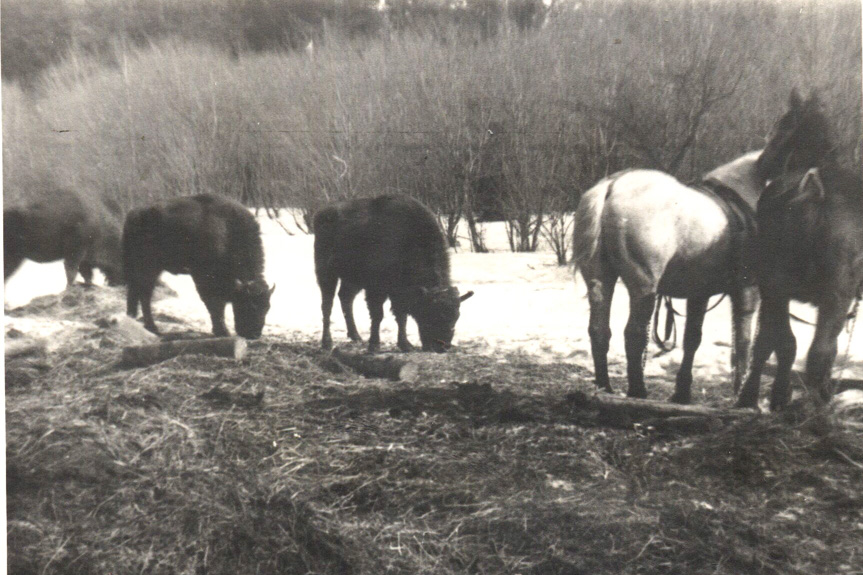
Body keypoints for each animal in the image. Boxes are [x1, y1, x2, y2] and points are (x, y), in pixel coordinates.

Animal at [122, 195, 274, 338]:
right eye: (249, 305)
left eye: (267, 307)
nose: (254, 335)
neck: (228, 229)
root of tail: (133, 215)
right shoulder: (202, 276)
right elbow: (214, 304)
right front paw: (222, 331)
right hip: (149, 267)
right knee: (144, 293)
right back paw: (152, 327)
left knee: (134, 290)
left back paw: (132, 318)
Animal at [312, 196, 472, 354]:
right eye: (432, 313)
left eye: (456, 316)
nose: (442, 347)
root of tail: (321, 213)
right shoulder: (376, 290)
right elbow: (378, 315)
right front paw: (374, 345)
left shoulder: (399, 294)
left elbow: (401, 317)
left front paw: (405, 345)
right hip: (326, 274)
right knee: (327, 305)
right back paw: (327, 343)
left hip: (352, 280)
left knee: (345, 298)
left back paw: (356, 336)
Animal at [572, 155, 764, 402]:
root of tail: (611, 186)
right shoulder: (747, 291)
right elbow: (743, 343)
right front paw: (742, 394)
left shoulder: (699, 293)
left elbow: (692, 338)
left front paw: (682, 392)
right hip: (644, 288)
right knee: (634, 334)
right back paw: (638, 390)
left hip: (601, 279)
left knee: (599, 330)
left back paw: (604, 386)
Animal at [736, 91, 863, 410]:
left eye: (781, 126)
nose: (762, 164)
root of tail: (815, 192)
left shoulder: (770, 289)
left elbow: (767, 342)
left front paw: (751, 396)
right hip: (834, 295)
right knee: (820, 351)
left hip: (781, 287)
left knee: (794, 345)